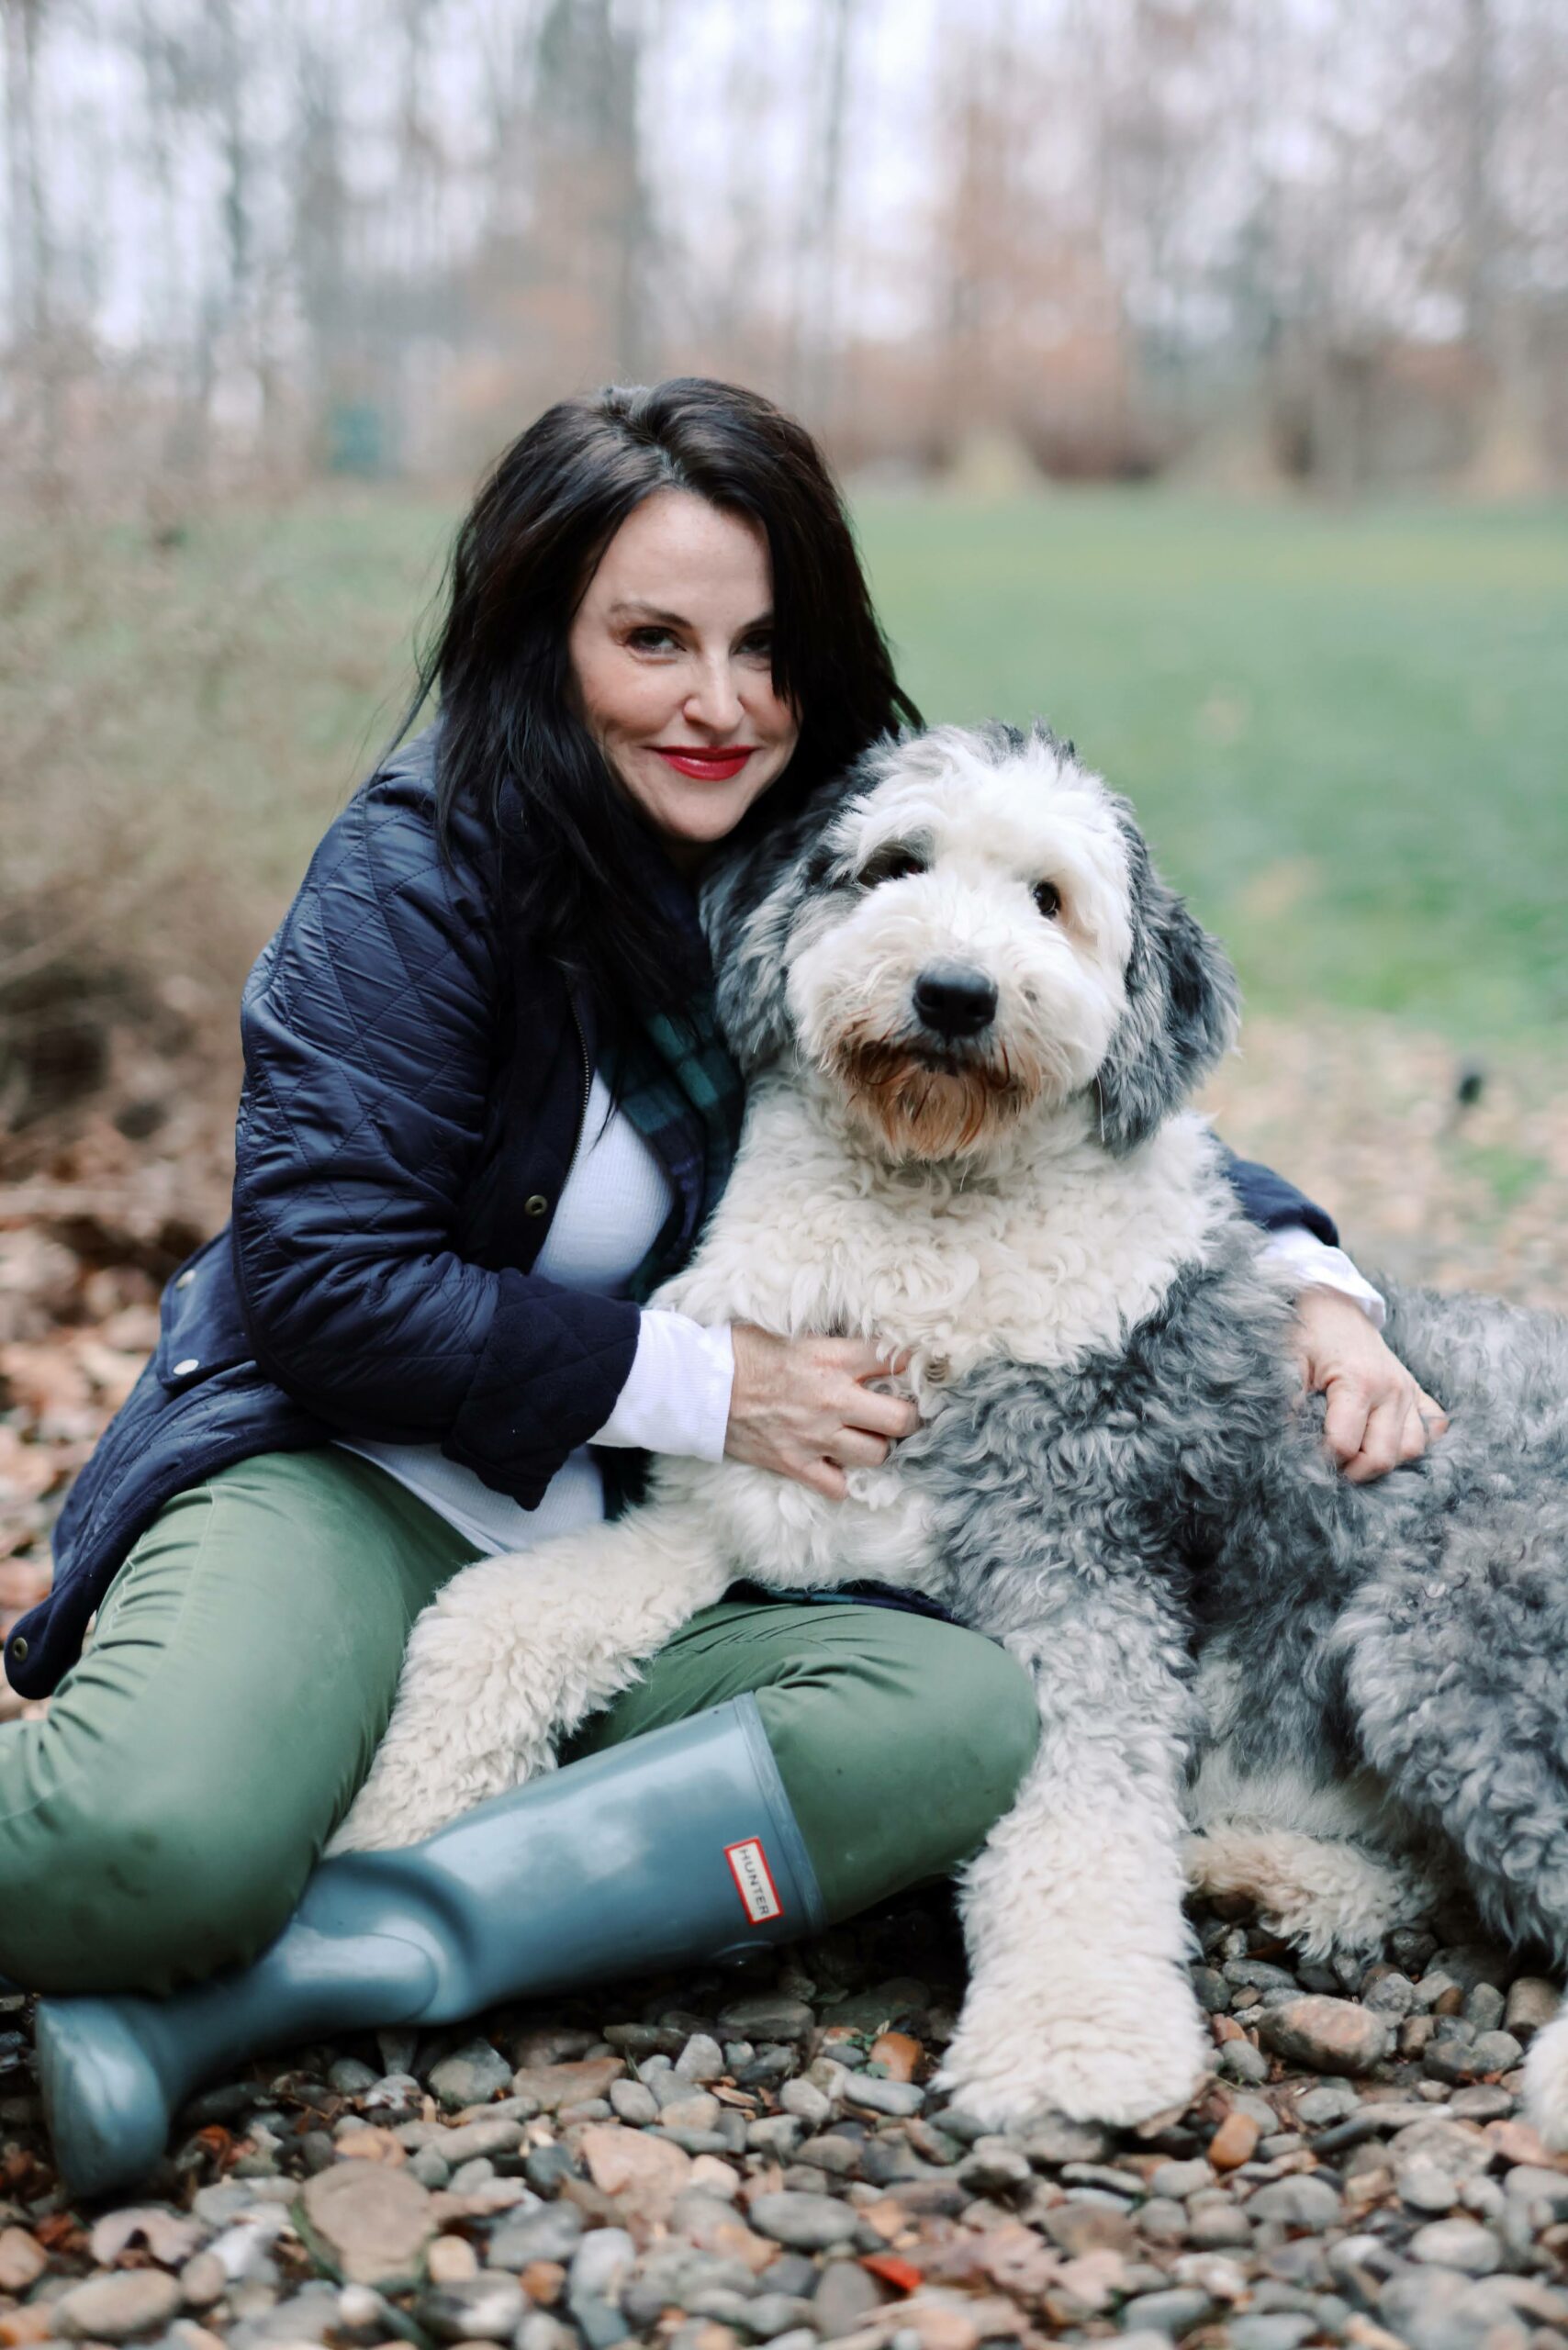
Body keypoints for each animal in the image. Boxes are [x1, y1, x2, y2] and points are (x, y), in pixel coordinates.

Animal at [338, 723, 1568, 2143]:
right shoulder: (731, 1515)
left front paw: (1072, 2052)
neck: (924, 1215)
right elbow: (492, 1615)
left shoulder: (1071, 1574)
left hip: (1441, 1653)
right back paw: (1262, 1871)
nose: (956, 995)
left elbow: (1078, 1823)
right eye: (894, 865)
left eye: (1049, 899)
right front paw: (395, 1834)